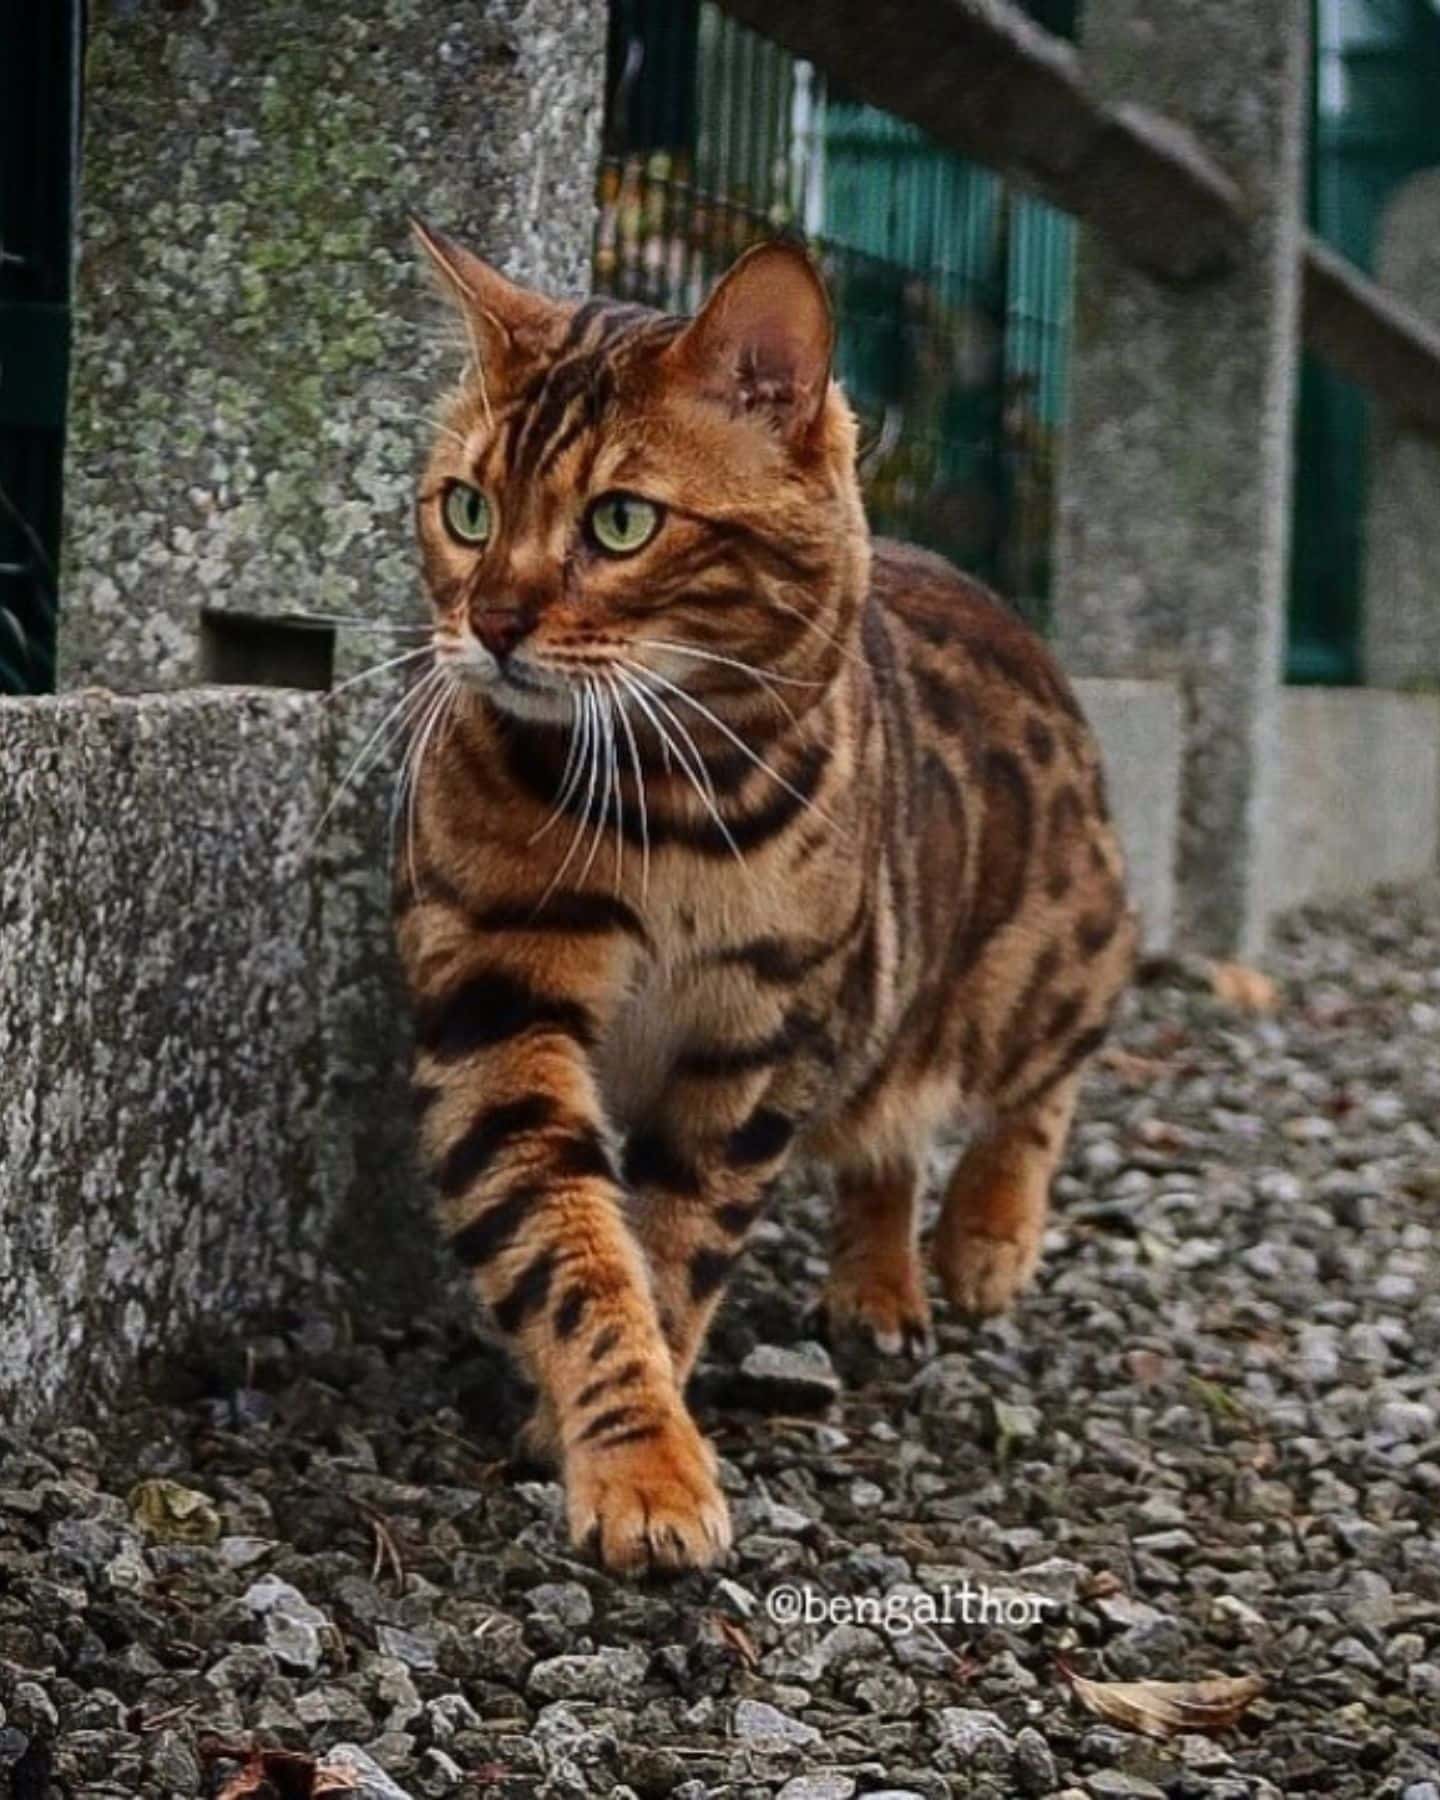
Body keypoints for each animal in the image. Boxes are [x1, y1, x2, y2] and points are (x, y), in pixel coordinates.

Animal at [396, 225, 1137, 1576]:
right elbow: (572, 1246)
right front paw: (627, 1445)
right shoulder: (495, 1004)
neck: (660, 810)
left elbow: (676, 1246)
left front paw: (642, 1453)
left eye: (621, 522)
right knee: (887, 1137)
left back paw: (983, 1240)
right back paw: (877, 1284)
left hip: (1037, 962)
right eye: (466, 509)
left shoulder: (759, 1040)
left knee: (1040, 1078)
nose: (491, 625)